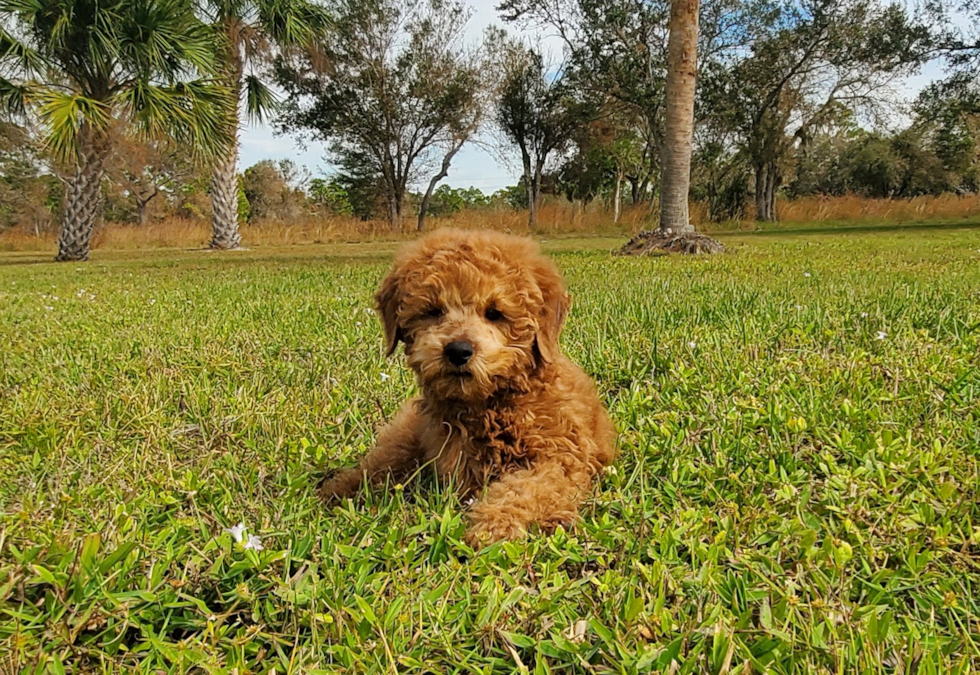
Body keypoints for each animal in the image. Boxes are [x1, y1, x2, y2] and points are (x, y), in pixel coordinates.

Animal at [318, 230, 616, 548]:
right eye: (433, 311)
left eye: (495, 313)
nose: (458, 350)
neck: (492, 405)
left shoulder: (561, 458)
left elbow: (524, 487)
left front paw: (494, 524)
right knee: (379, 465)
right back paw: (338, 488)